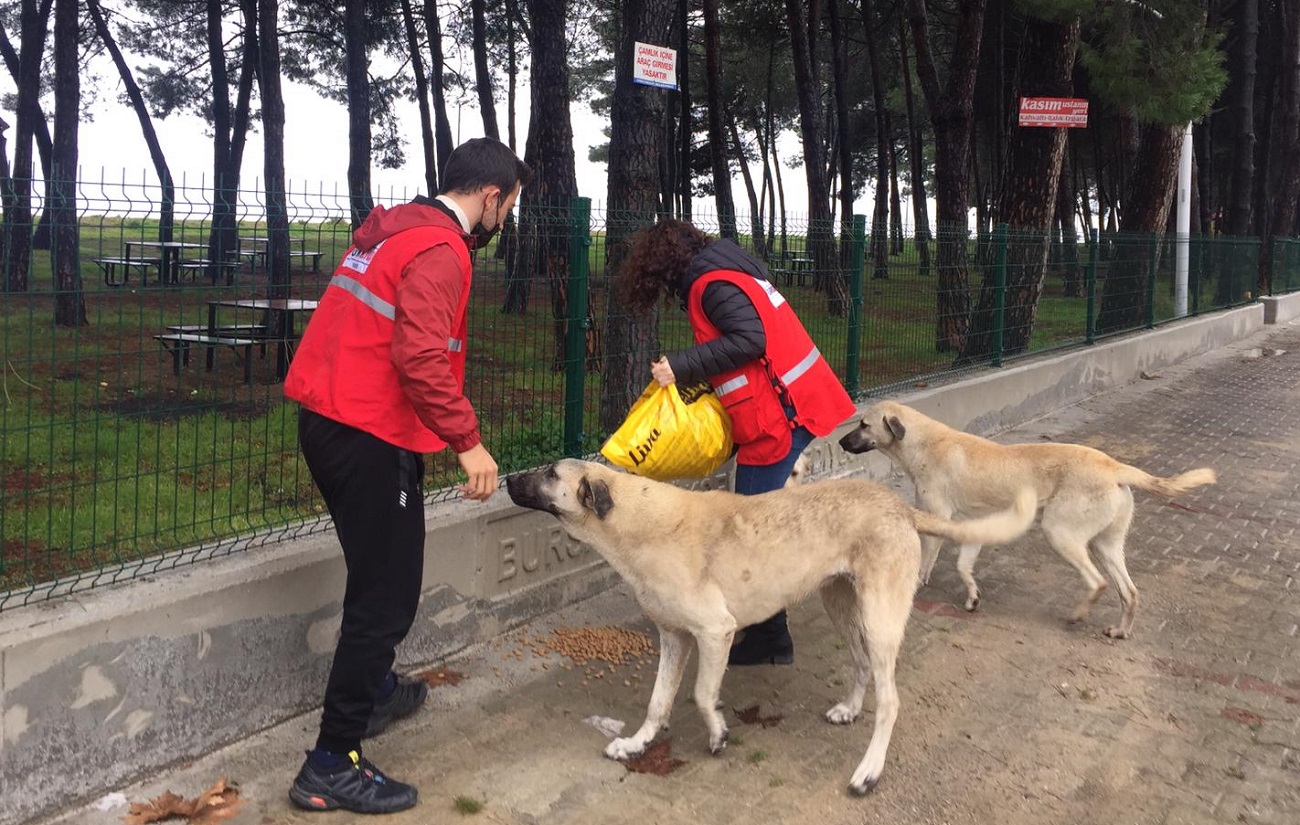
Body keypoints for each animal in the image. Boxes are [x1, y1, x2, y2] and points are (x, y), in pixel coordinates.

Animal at [837, 402, 1211, 641]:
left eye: (863, 424)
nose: (839, 441)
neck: (924, 443)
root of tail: (1115, 467)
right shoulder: (974, 528)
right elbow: (963, 567)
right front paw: (972, 598)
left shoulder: (937, 519)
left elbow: (925, 565)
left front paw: (916, 588)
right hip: (1106, 546)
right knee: (1129, 592)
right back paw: (1120, 630)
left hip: (1061, 534)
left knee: (1098, 583)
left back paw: (1078, 614)